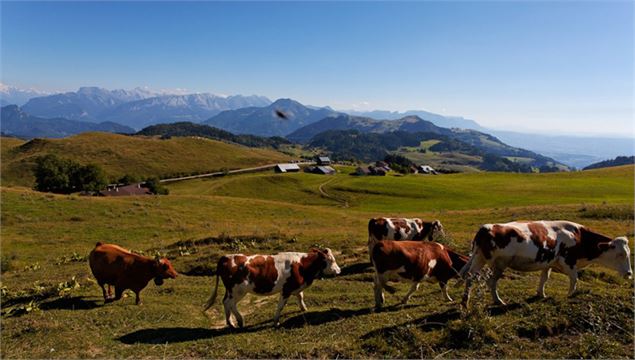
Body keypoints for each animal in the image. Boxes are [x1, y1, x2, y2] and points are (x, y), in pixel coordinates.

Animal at [204, 248, 342, 330]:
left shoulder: (295, 286)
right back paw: (239, 320)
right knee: (230, 303)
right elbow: (280, 306)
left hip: (230, 290)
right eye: (331, 260)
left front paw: (304, 308)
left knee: (225, 302)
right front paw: (276, 322)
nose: (339, 270)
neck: (302, 265)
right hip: (238, 290)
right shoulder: (286, 289)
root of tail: (226, 257)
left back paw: (230, 322)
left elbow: (300, 295)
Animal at [460, 219, 632, 306]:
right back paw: (498, 301)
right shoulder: (568, 260)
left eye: (629, 253)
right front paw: (570, 295)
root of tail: (486, 227)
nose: (630, 273)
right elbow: (575, 278)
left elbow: (544, 278)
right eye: (621, 254)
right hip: (498, 264)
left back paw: (465, 301)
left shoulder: (548, 262)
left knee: (470, 277)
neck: (579, 236)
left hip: (479, 259)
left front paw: (541, 293)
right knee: (491, 281)